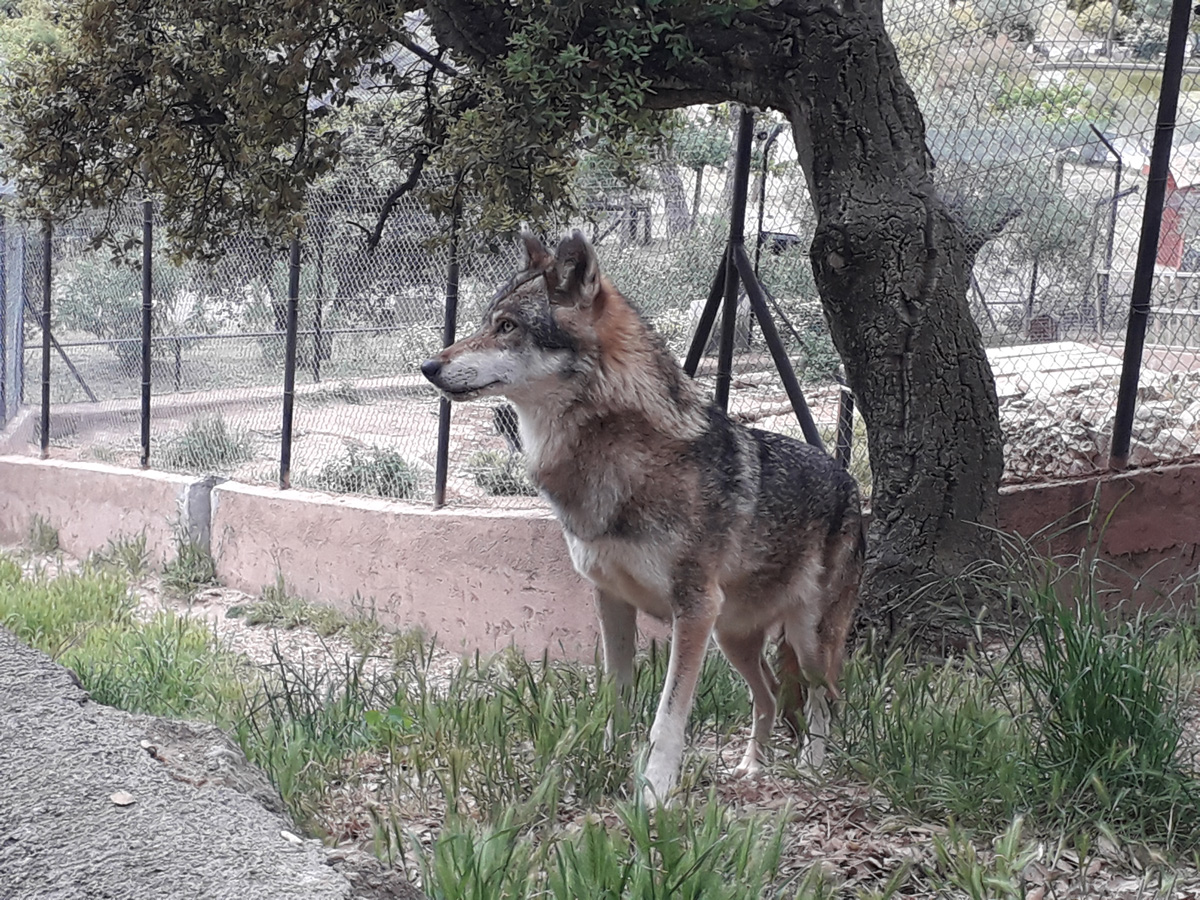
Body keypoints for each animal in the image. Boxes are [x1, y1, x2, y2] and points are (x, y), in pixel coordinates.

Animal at [421, 230, 864, 801]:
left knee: (824, 698)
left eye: (508, 326)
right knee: (767, 694)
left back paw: (809, 768)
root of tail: (849, 480)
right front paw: (608, 763)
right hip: (732, 639)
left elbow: (668, 716)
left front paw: (653, 793)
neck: (618, 454)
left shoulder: (692, 610)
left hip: (804, 639)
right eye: (484, 322)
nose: (428, 367)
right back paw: (751, 768)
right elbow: (617, 696)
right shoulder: (611, 599)